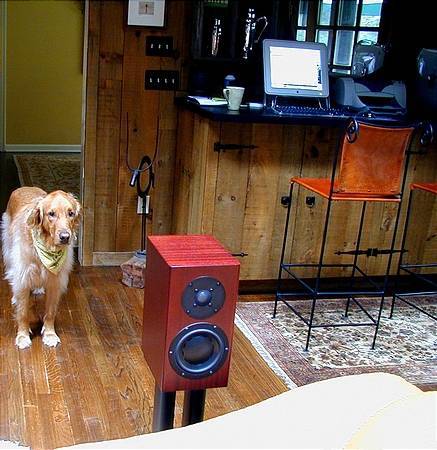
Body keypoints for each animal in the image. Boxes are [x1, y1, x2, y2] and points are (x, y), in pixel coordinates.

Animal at [1, 186, 81, 348]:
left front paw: (50, 334)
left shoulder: (55, 281)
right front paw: (22, 336)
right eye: (51, 214)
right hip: (8, 251)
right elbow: (23, 313)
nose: (65, 237)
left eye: (71, 213)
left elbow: (50, 312)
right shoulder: (23, 278)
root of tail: (25, 187)